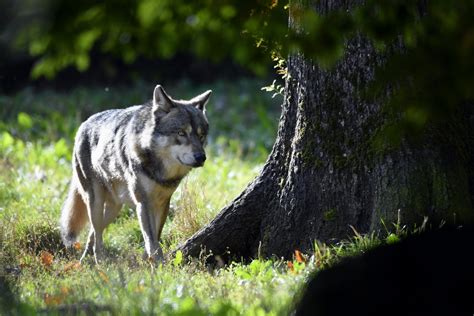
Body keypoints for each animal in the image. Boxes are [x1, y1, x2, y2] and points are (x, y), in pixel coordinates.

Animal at [59, 84, 211, 264]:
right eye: (181, 133)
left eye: (201, 135)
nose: (201, 157)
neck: (160, 172)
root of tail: (83, 124)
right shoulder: (143, 203)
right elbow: (151, 240)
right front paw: (159, 264)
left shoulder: (162, 203)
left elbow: (154, 236)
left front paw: (148, 262)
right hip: (95, 202)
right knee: (96, 234)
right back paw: (99, 261)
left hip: (114, 208)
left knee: (93, 233)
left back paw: (85, 261)